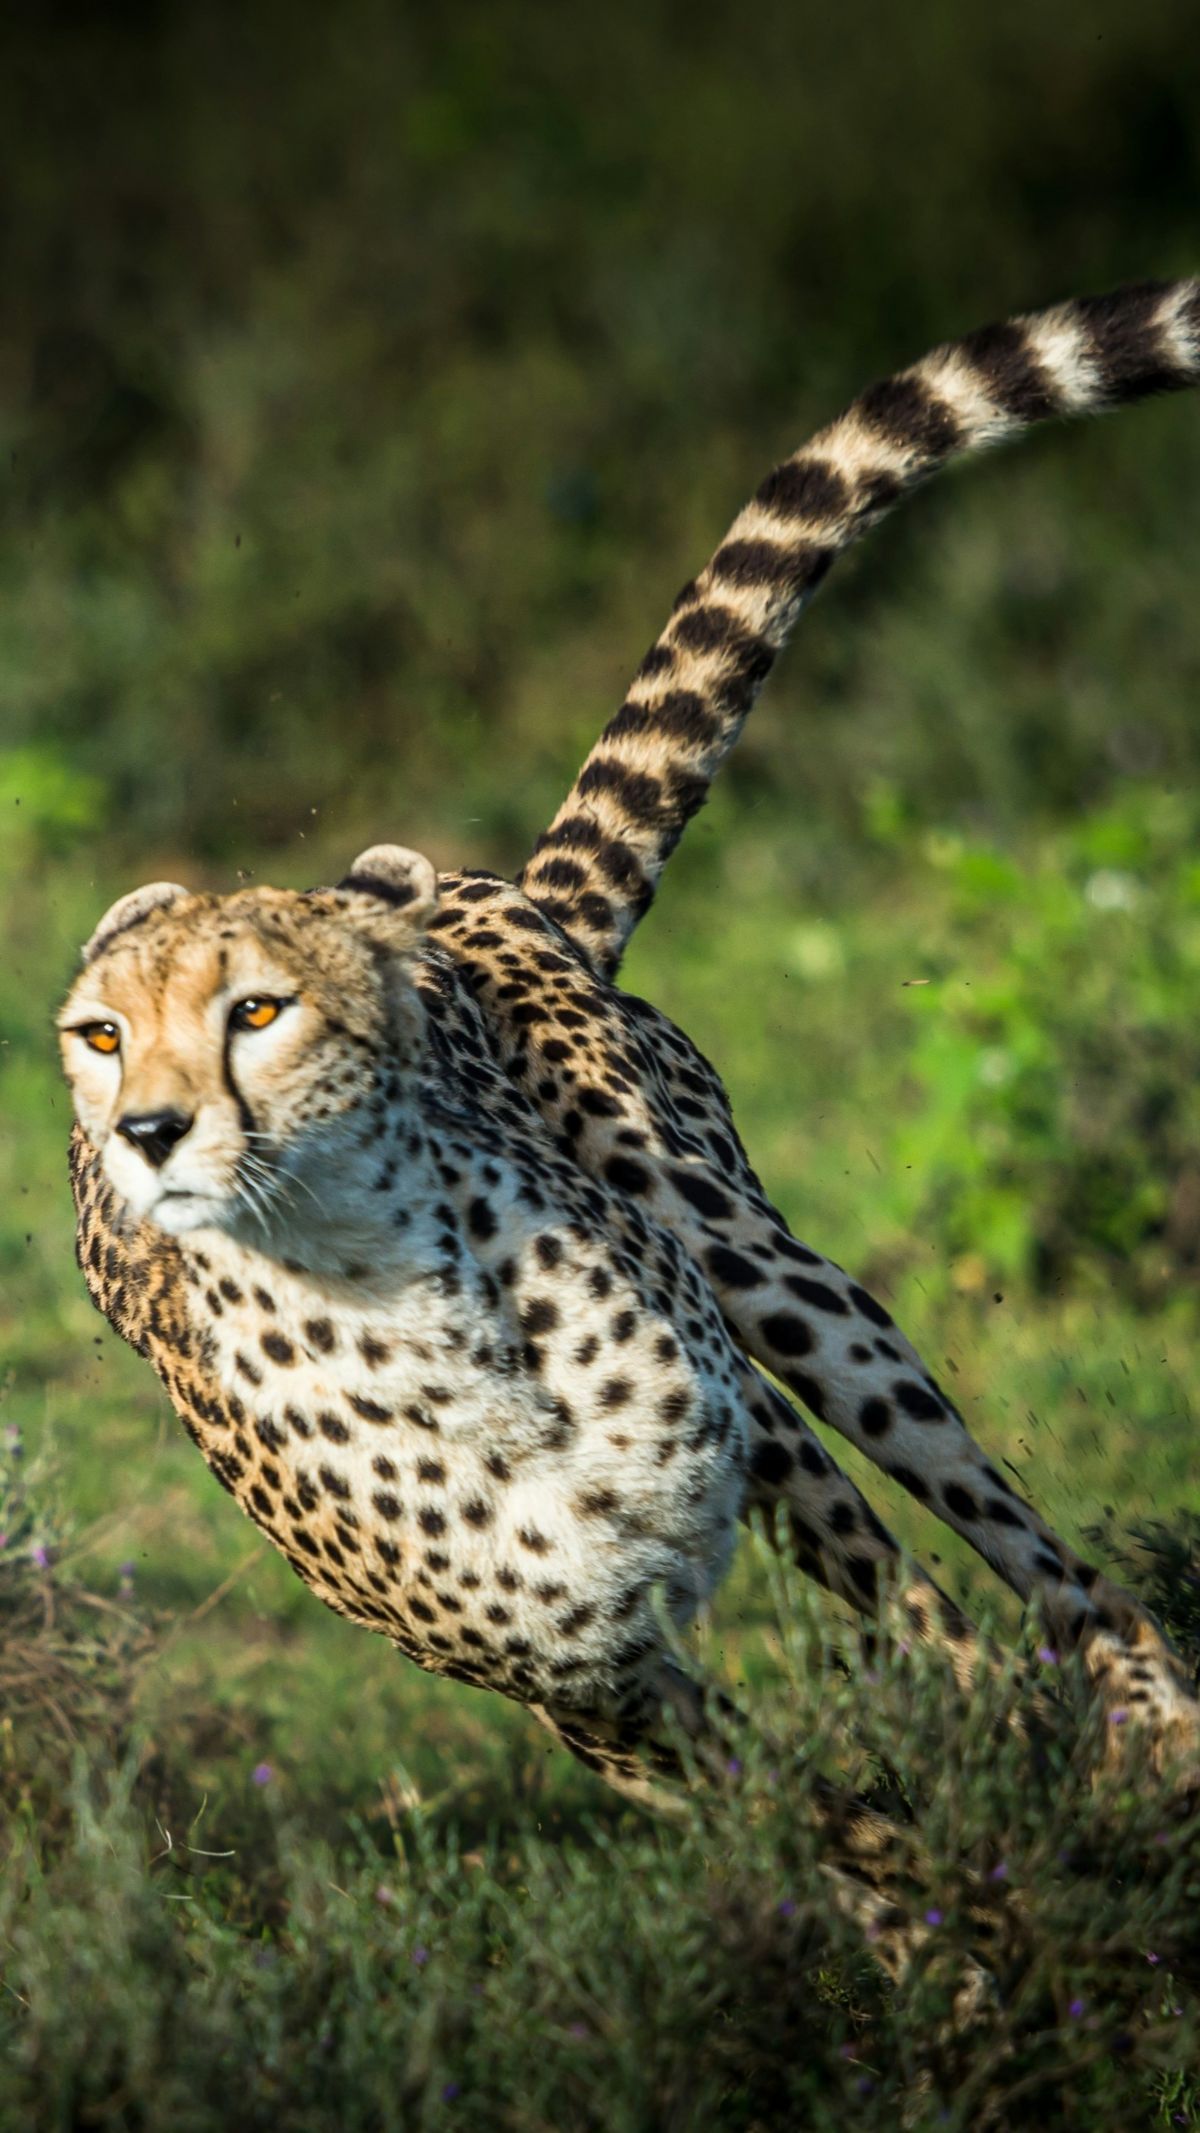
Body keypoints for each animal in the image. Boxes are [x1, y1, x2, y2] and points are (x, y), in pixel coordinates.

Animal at [58, 283, 1200, 1979]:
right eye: (100, 1033)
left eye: (257, 1010)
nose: (145, 1129)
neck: (397, 1308)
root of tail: (483, 885)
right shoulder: (589, 1688)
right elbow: (814, 1813)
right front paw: (950, 1940)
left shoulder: (726, 1483)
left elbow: (911, 1689)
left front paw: (1013, 1865)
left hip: (759, 1273)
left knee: (1020, 1567)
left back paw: (1138, 1718)